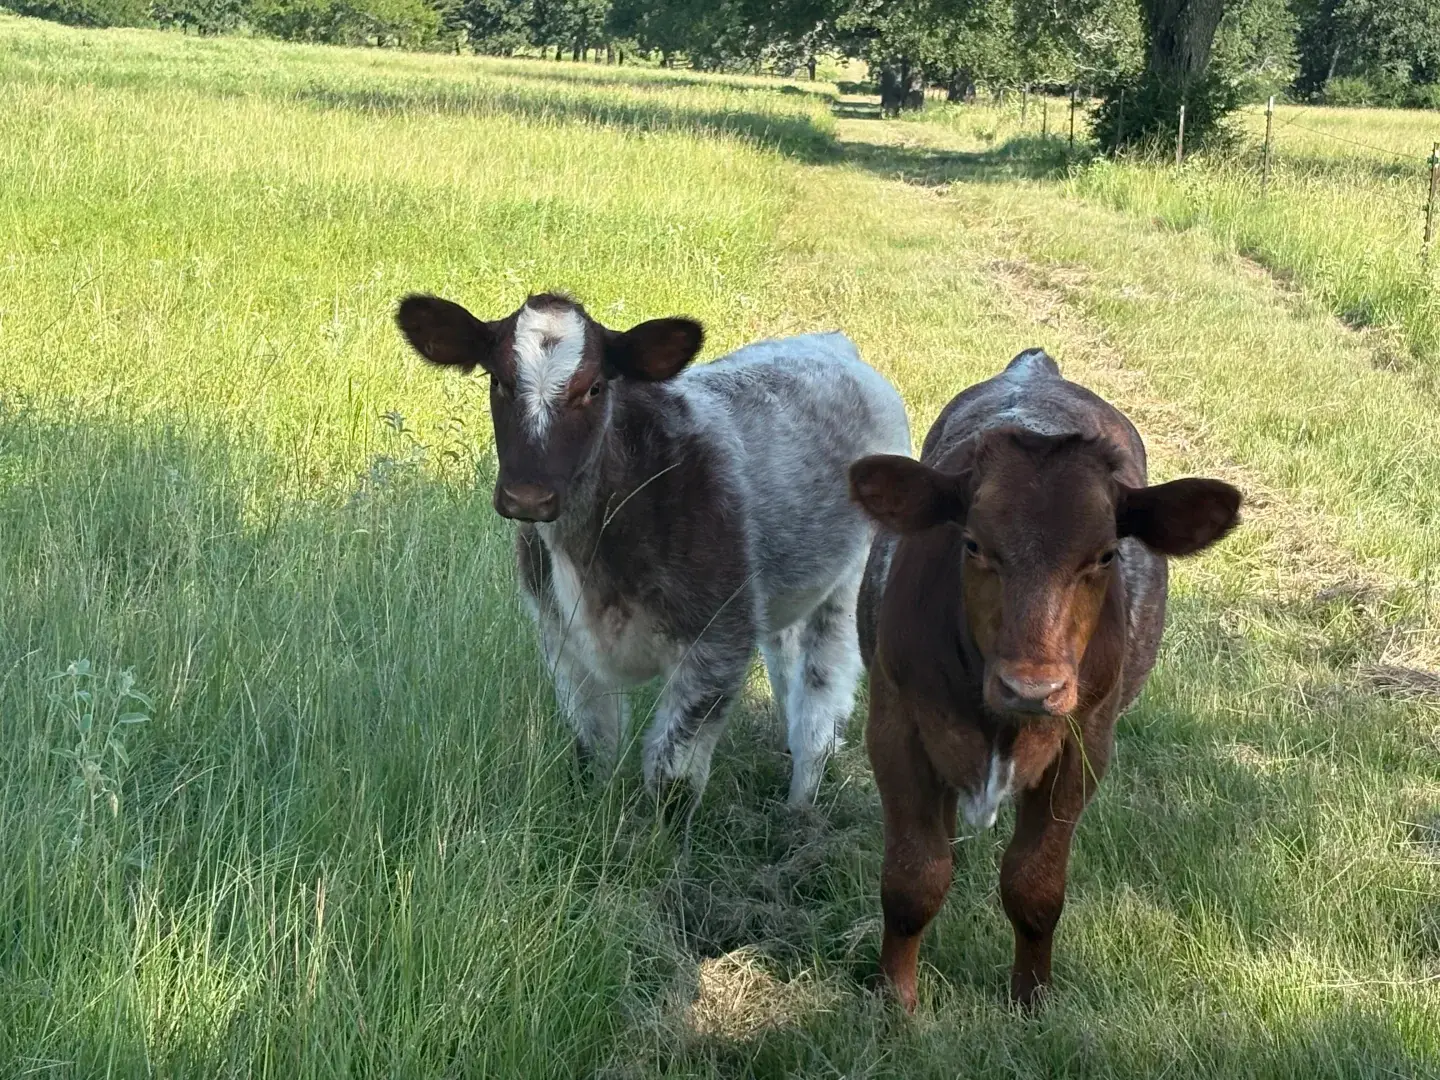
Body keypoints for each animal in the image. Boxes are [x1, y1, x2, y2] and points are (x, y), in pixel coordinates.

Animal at [396, 292, 912, 814]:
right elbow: (594, 750)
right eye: (497, 380)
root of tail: (832, 342)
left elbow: (672, 778)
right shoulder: (562, 642)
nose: (527, 497)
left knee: (819, 707)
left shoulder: (717, 644)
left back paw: (799, 809)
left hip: (851, 584)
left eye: (595, 387)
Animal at [848, 348, 1241, 1010]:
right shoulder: (894, 723)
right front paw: (895, 1000)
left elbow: (1035, 885)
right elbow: (912, 878)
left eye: (1105, 555)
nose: (1031, 688)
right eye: (973, 544)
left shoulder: (1086, 744)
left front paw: (1031, 1000)